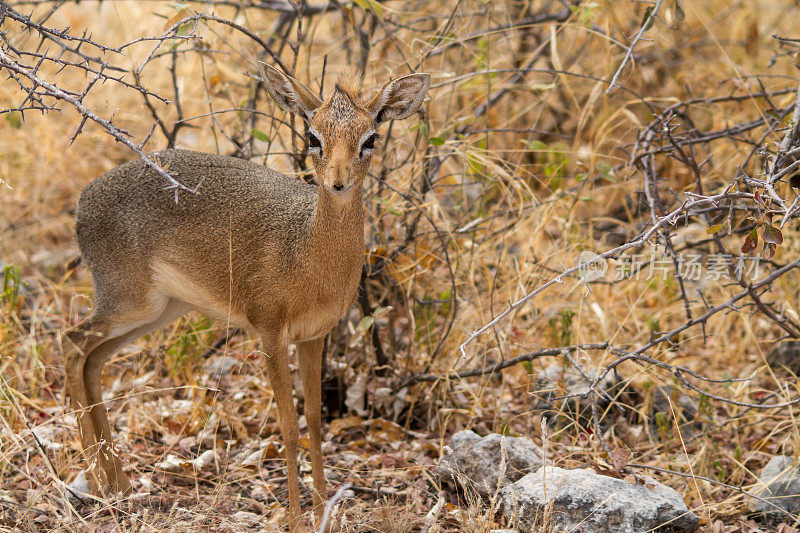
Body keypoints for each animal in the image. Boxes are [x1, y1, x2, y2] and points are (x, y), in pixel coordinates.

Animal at [65, 64, 428, 528]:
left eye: (370, 138)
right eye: (313, 136)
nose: (338, 182)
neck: (307, 251)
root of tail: (83, 201)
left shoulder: (314, 336)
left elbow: (314, 418)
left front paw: (322, 510)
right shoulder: (270, 331)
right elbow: (288, 423)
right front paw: (296, 518)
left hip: (157, 310)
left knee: (94, 360)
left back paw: (118, 484)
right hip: (128, 301)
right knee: (72, 344)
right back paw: (96, 480)